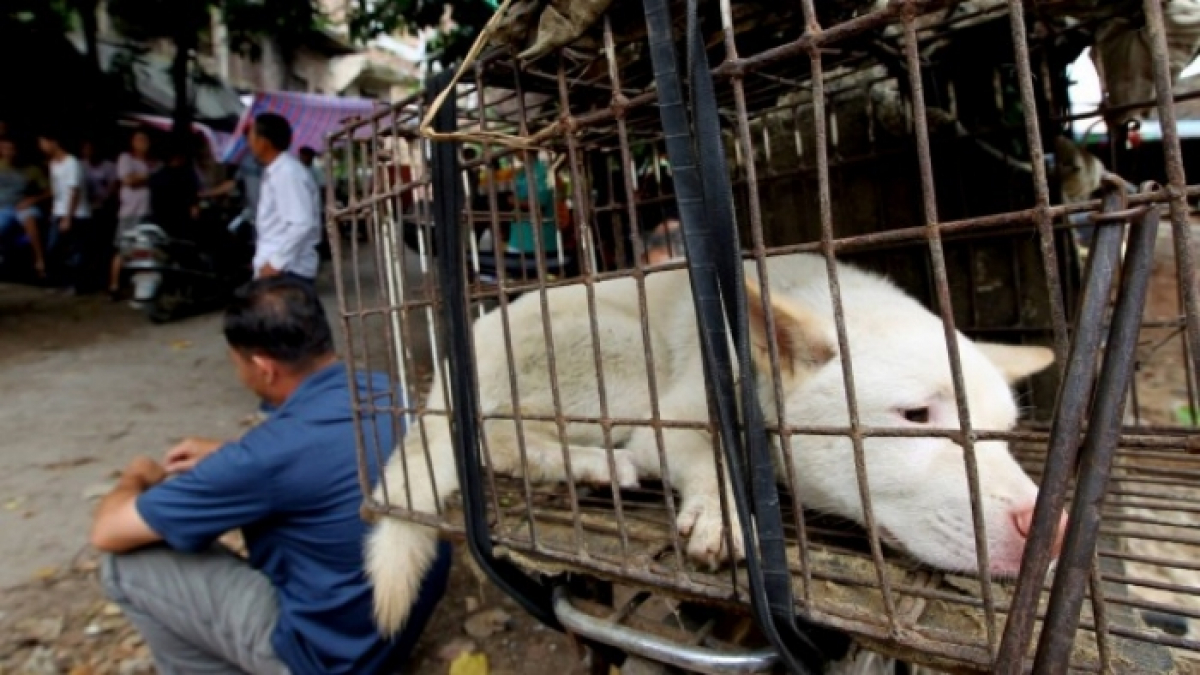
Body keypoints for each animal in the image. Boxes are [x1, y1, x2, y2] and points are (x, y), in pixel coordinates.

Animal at [369, 253, 1065, 634]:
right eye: (916, 415)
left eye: (1002, 435)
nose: (1048, 529)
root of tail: (453, 366)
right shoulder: (671, 418)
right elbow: (705, 458)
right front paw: (724, 511)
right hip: (617, 352)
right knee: (495, 437)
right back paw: (592, 465)